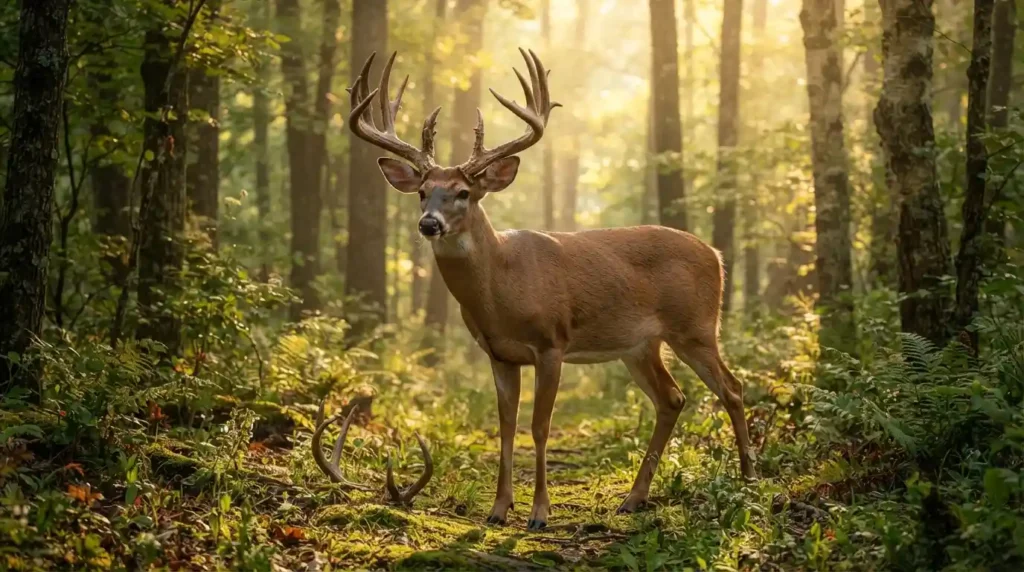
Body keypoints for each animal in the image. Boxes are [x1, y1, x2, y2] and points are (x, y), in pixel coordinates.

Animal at [346, 48, 754, 530]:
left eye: (463, 192)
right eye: (423, 191)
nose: (429, 224)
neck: (501, 290)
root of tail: (716, 255)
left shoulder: (551, 342)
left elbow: (540, 426)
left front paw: (540, 512)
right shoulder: (500, 353)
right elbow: (507, 426)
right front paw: (499, 509)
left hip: (695, 327)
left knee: (732, 387)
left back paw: (749, 478)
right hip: (640, 345)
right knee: (672, 398)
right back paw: (633, 498)